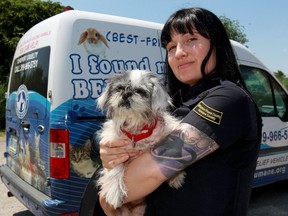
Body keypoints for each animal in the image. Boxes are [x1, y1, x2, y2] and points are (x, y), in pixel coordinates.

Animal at [97, 70, 184, 215]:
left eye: (139, 91)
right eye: (119, 88)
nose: (126, 94)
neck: (136, 131)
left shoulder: (166, 132)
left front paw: (176, 176)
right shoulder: (116, 153)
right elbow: (115, 170)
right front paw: (115, 192)